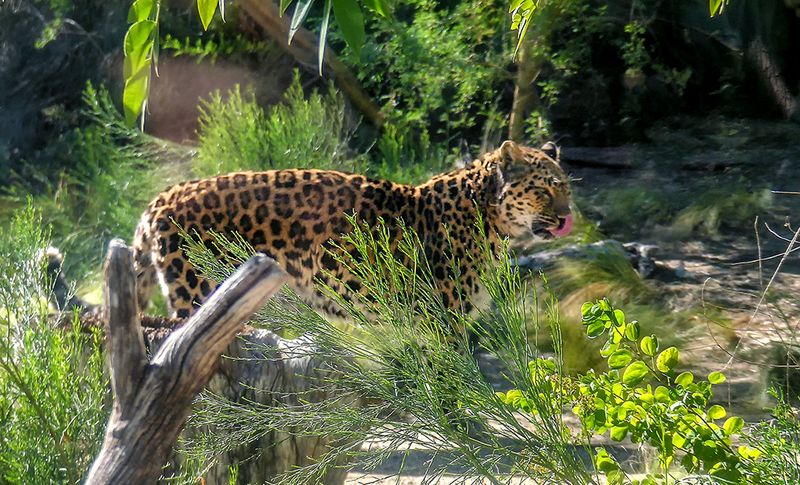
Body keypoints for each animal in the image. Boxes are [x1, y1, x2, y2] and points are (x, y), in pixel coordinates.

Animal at [131, 138, 572, 320]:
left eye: (566, 187)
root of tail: (163, 196)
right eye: (544, 190)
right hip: (197, 295)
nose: (567, 217)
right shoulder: (444, 318)